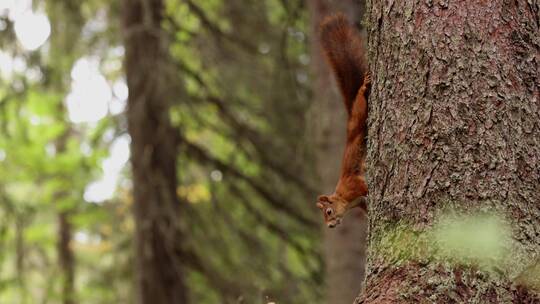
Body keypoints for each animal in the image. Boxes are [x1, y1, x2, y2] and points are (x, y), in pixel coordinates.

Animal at [316, 14, 372, 228]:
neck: (343, 198)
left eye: (329, 212)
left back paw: (364, 87)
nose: (330, 226)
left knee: (362, 102)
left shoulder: (352, 185)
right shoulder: (360, 202)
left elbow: (364, 186)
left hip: (360, 113)